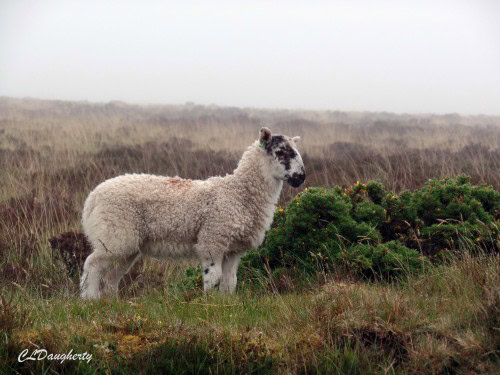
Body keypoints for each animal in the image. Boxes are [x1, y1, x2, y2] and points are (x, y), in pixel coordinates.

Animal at [79, 127, 304, 300]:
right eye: (281, 152)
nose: (301, 177)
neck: (239, 193)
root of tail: (92, 199)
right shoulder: (212, 241)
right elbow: (213, 278)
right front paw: (209, 303)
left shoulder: (233, 249)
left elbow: (230, 281)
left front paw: (225, 304)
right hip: (113, 235)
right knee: (92, 265)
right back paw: (90, 299)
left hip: (126, 244)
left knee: (112, 275)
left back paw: (111, 301)